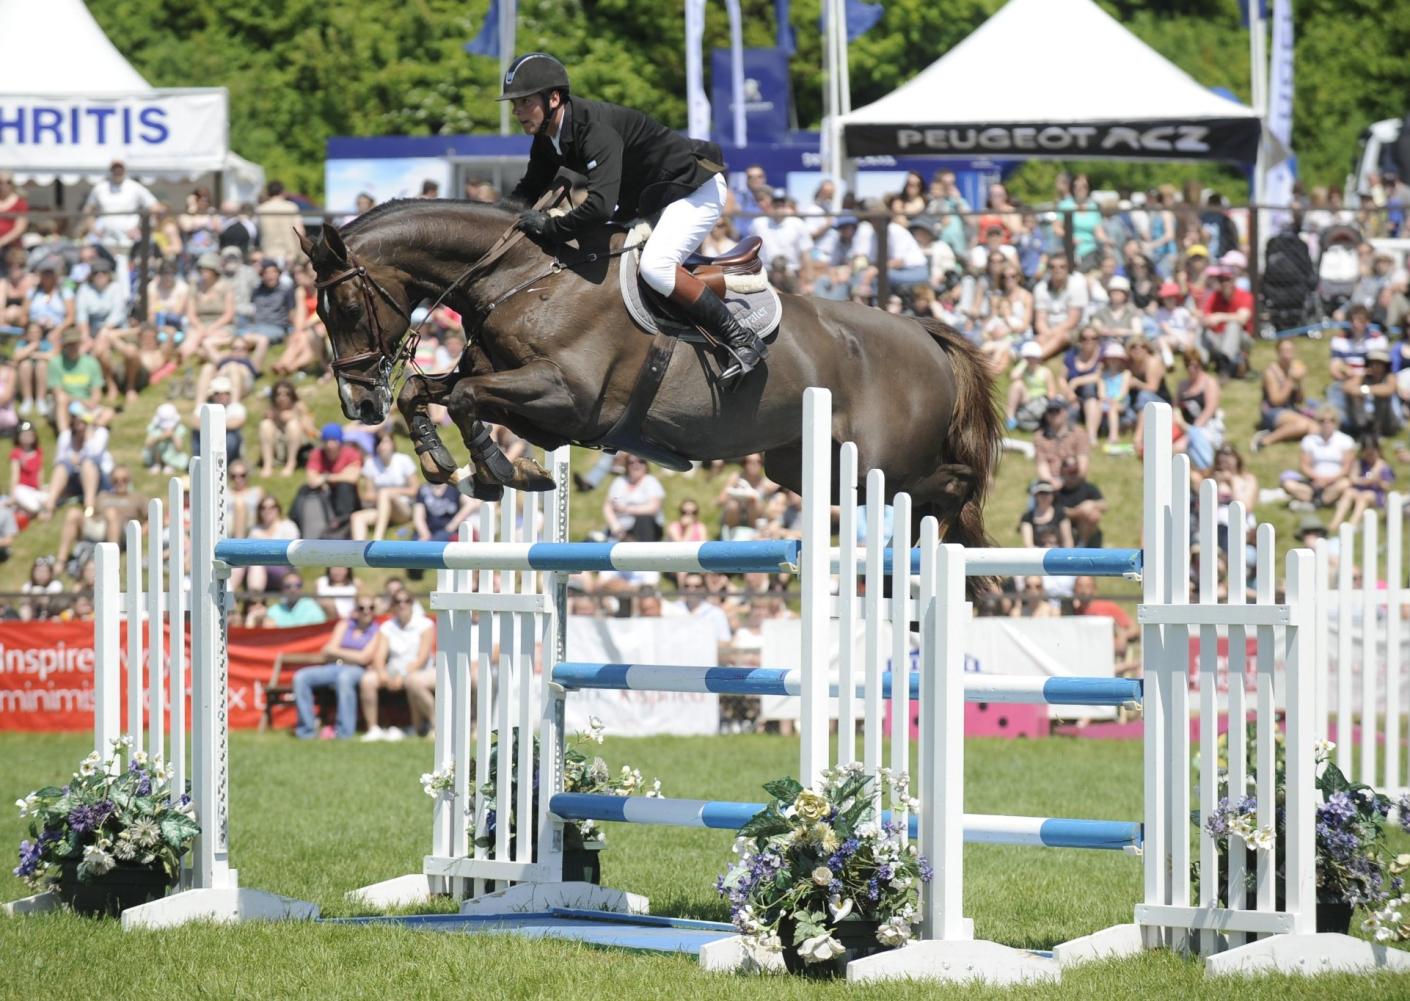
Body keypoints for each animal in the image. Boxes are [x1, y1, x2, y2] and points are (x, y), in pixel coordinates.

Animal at [300, 198, 1003, 552]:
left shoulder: (567, 397)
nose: (357, 406)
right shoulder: (531, 404)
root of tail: (924, 334)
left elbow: (468, 396)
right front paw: (445, 463)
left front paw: (503, 470)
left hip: (883, 464)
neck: (520, 277)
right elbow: (432, 391)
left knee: (956, 482)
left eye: (344, 307)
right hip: (807, 469)